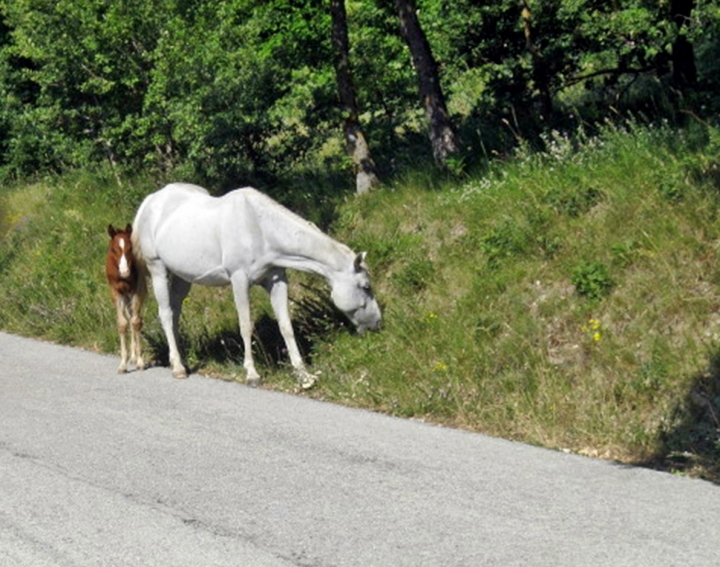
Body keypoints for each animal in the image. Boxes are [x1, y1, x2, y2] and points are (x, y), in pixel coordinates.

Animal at [104, 224, 145, 374]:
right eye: (113, 249)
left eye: (130, 248)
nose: (125, 272)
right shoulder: (116, 292)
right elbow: (122, 324)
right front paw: (123, 364)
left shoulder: (137, 289)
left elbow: (136, 322)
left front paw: (140, 361)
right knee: (129, 317)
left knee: (133, 319)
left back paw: (134, 357)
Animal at [134, 184, 382, 388]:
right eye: (365, 286)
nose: (377, 323)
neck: (260, 228)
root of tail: (150, 201)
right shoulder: (239, 280)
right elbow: (246, 325)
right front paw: (252, 374)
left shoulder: (277, 281)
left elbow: (286, 326)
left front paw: (304, 376)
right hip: (157, 269)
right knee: (166, 314)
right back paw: (177, 367)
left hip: (182, 277)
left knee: (175, 313)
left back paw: (183, 361)